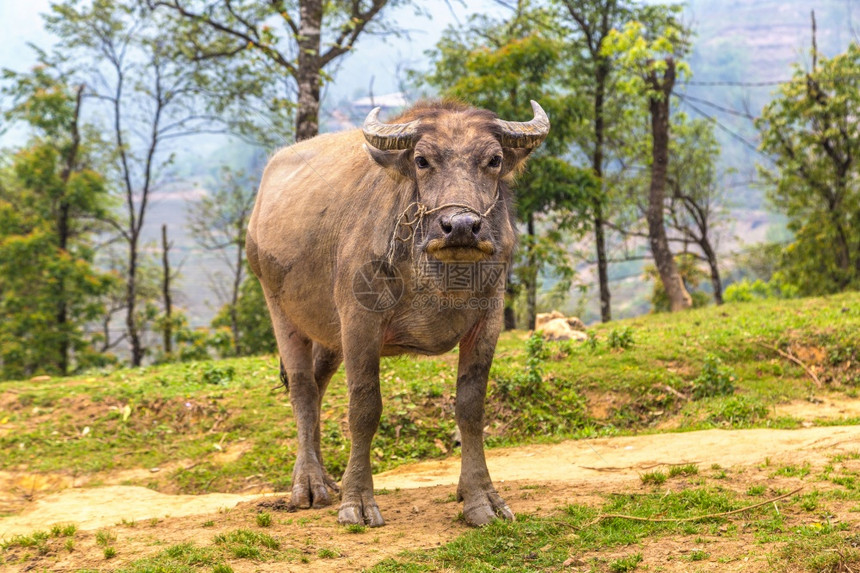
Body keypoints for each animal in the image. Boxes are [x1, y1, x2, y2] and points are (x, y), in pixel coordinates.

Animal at [245, 98, 548, 528]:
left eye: (493, 160)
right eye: (422, 160)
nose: (461, 226)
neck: (438, 274)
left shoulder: (488, 320)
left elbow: (471, 407)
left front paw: (481, 499)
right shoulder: (359, 323)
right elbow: (364, 409)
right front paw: (357, 501)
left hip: (329, 334)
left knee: (318, 384)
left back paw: (324, 477)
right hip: (280, 308)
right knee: (302, 390)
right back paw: (310, 485)